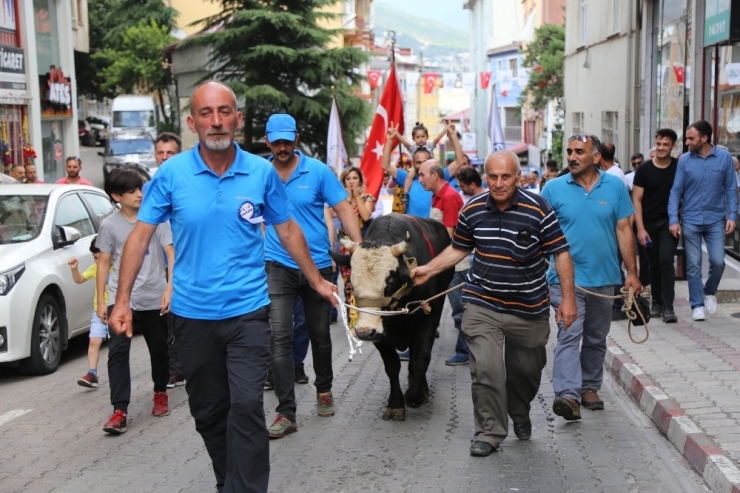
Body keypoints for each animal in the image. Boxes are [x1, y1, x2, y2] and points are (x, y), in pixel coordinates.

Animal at [330, 213, 456, 420]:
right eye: (353, 284)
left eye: (389, 283)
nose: (363, 333)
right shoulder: (379, 335)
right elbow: (392, 365)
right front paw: (395, 404)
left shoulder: (429, 317)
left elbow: (421, 357)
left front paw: (414, 396)